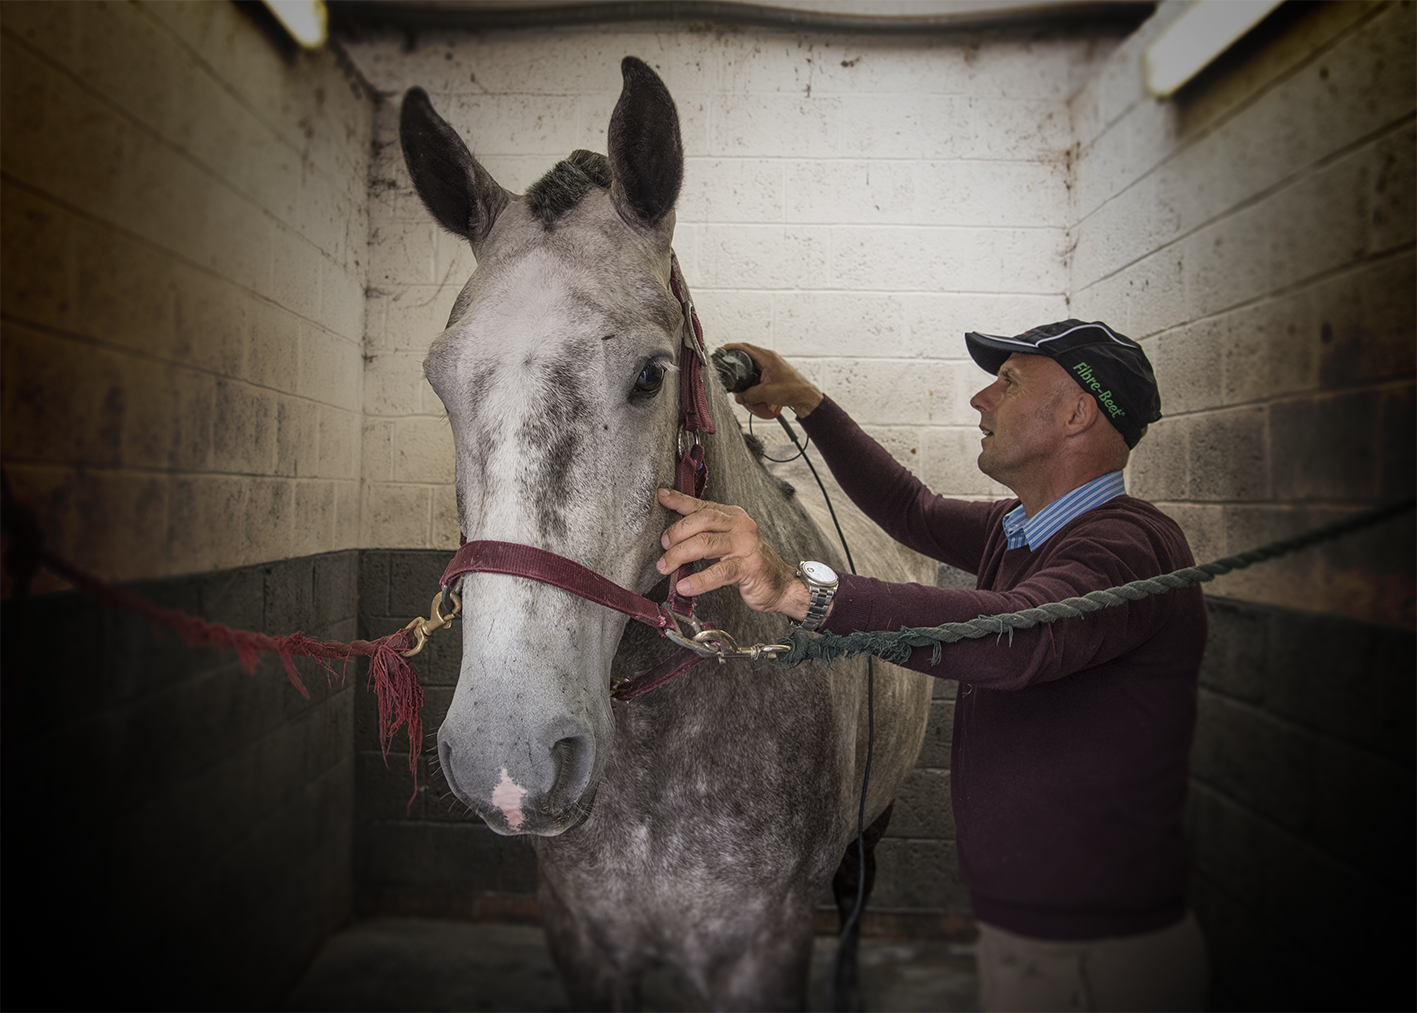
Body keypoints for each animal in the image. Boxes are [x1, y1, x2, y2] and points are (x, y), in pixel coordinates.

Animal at [399, 57, 934, 1011]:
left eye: (649, 375)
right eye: (440, 379)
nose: (508, 752)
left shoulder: (762, 952)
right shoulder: (585, 941)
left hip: (875, 827)